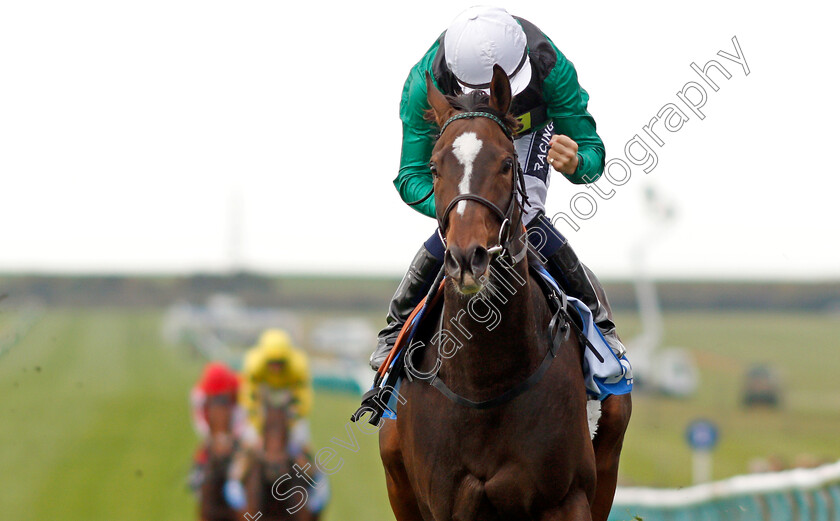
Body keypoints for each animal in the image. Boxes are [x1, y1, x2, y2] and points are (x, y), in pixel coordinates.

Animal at [378, 66, 620, 520]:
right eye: (434, 167)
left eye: (507, 163)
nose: (466, 258)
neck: (486, 382)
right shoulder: (444, 503)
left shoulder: (567, 497)